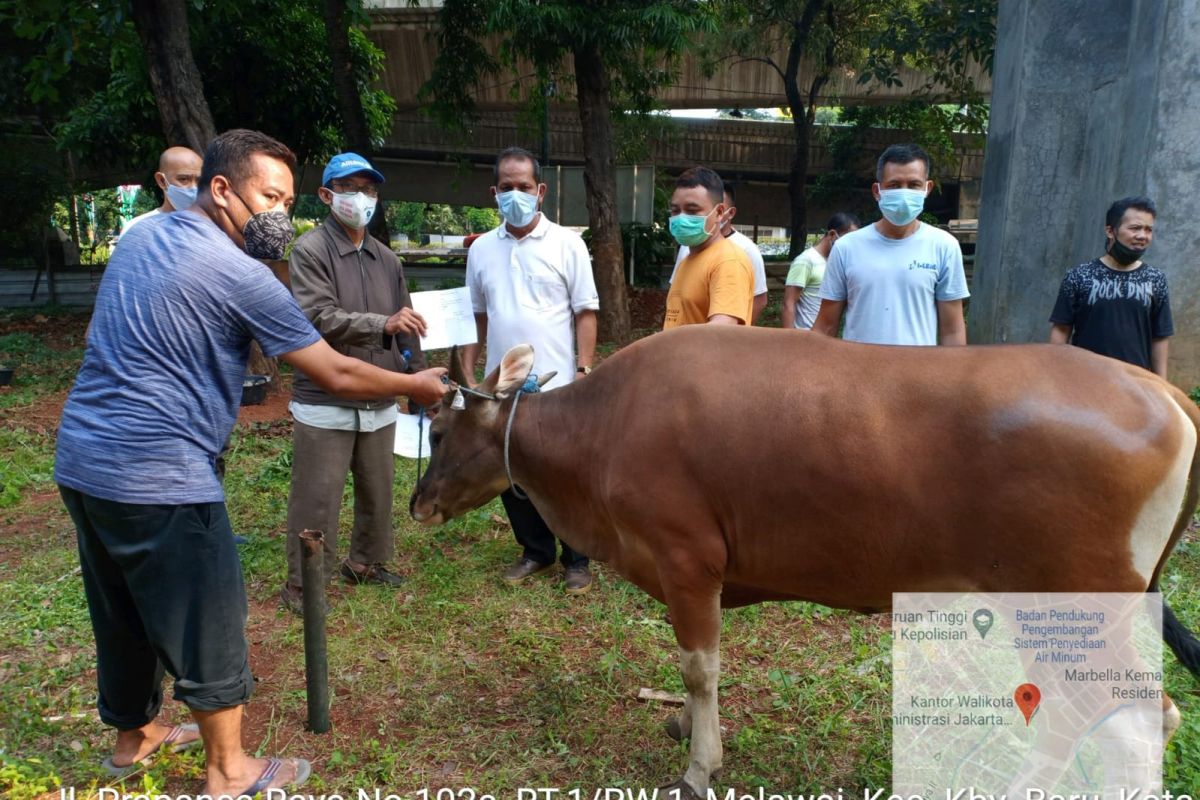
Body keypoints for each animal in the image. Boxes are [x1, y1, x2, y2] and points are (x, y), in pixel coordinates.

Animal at [405, 323, 1200, 796]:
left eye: (438, 431)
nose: (419, 504)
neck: (606, 426)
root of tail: (1158, 389)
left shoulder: (686, 560)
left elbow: (699, 668)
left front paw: (700, 763)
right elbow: (692, 671)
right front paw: (683, 727)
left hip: (1073, 605)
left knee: (1130, 719)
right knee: (1087, 712)